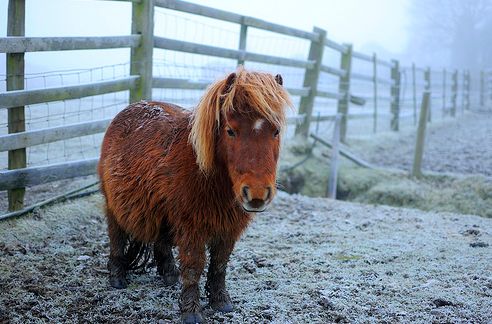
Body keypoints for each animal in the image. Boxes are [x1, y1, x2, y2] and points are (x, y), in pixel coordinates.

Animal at [99, 67, 292, 322]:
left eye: (276, 131)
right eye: (230, 131)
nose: (257, 194)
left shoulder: (228, 228)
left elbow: (219, 264)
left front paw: (221, 302)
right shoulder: (192, 227)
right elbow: (194, 266)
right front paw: (192, 312)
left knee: (161, 240)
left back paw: (169, 275)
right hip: (114, 205)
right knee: (116, 237)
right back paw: (117, 277)